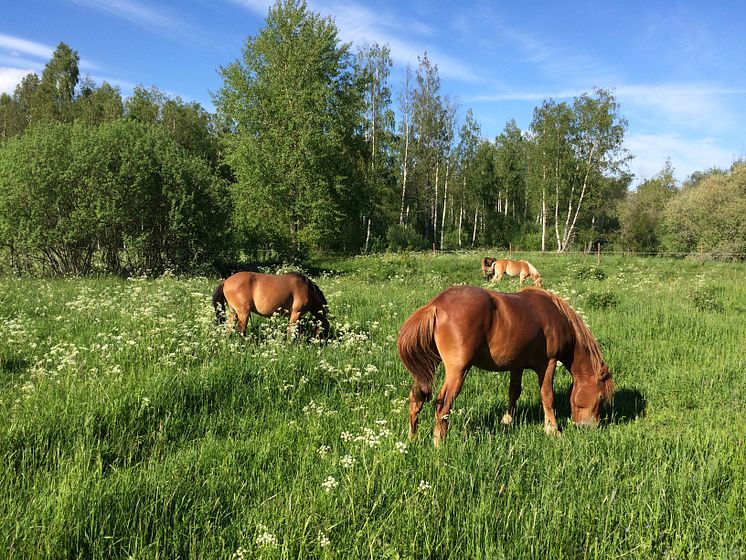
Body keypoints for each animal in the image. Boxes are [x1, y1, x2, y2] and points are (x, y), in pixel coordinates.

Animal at [396, 286, 612, 444]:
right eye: (601, 397)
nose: (590, 427)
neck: (555, 315)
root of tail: (435, 306)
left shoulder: (516, 365)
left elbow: (513, 392)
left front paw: (507, 421)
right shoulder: (548, 364)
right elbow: (547, 396)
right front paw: (553, 430)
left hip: (428, 367)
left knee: (416, 397)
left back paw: (412, 438)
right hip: (457, 372)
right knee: (442, 405)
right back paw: (439, 443)